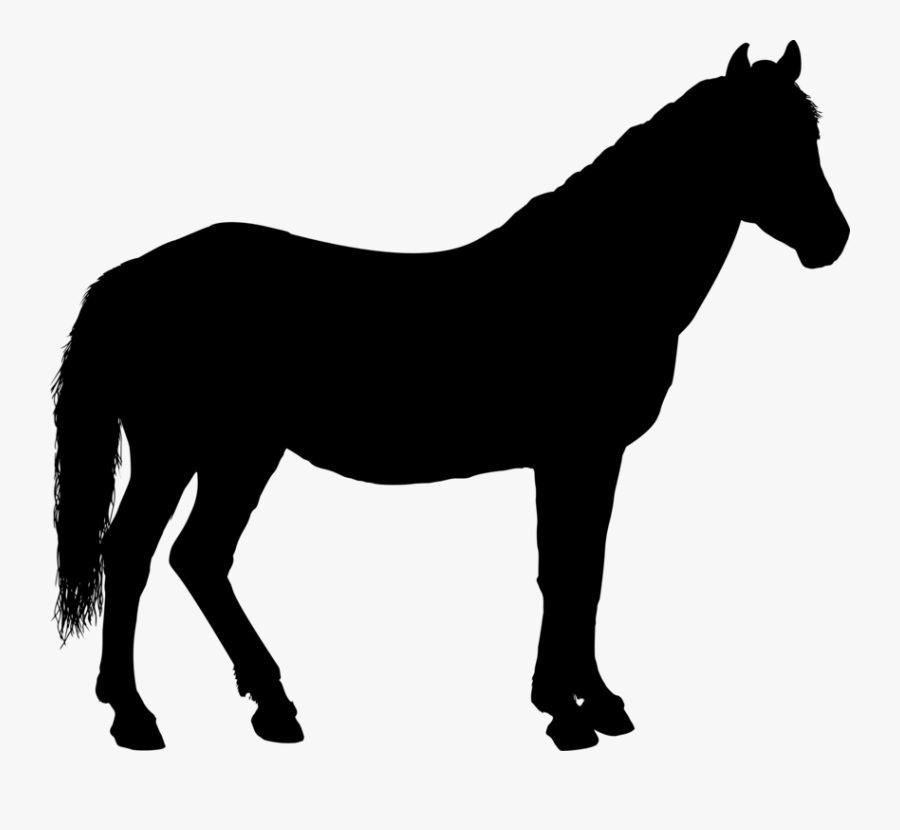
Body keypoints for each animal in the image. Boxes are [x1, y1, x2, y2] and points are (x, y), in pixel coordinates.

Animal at [52, 41, 849, 751]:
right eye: (756, 138)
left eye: (809, 134)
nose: (832, 239)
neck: (594, 277)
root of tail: (129, 279)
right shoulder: (572, 455)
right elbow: (565, 572)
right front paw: (566, 713)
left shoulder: (591, 458)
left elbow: (583, 572)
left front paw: (593, 701)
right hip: (178, 448)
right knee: (132, 555)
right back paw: (135, 716)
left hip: (240, 451)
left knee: (198, 557)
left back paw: (272, 706)